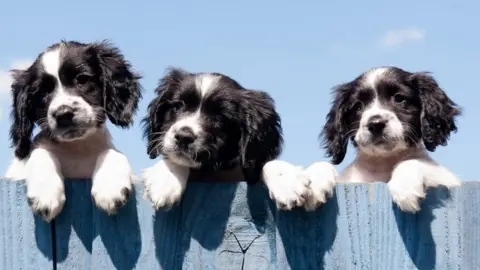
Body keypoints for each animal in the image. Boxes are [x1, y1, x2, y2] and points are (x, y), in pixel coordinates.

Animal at [4, 40, 142, 221]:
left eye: (82, 79)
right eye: (42, 92)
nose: (63, 114)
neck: (76, 149)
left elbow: (112, 152)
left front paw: (110, 187)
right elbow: (40, 151)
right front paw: (46, 192)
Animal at [140, 68, 326, 211]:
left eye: (220, 116)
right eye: (178, 105)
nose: (183, 137)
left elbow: (263, 164)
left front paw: (287, 181)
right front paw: (166, 180)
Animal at [320, 66, 464, 213]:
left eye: (399, 98)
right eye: (358, 106)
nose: (376, 124)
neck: (384, 161)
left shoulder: (449, 179)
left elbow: (416, 161)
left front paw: (405, 187)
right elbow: (324, 166)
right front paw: (314, 180)